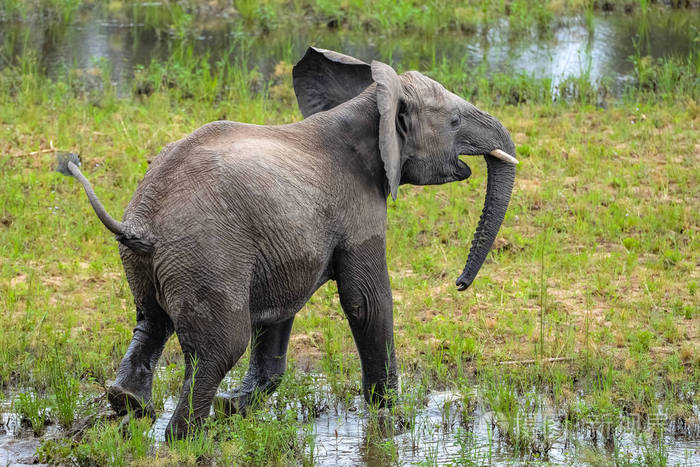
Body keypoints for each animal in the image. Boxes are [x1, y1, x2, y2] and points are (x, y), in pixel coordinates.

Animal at [60, 45, 516, 440]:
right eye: (454, 122)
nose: (459, 284)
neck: (370, 102)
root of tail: (141, 222)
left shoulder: (284, 243)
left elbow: (280, 308)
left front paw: (235, 406)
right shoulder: (359, 205)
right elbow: (366, 302)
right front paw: (393, 419)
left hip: (152, 262)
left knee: (151, 322)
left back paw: (130, 404)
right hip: (207, 258)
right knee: (219, 348)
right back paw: (187, 438)